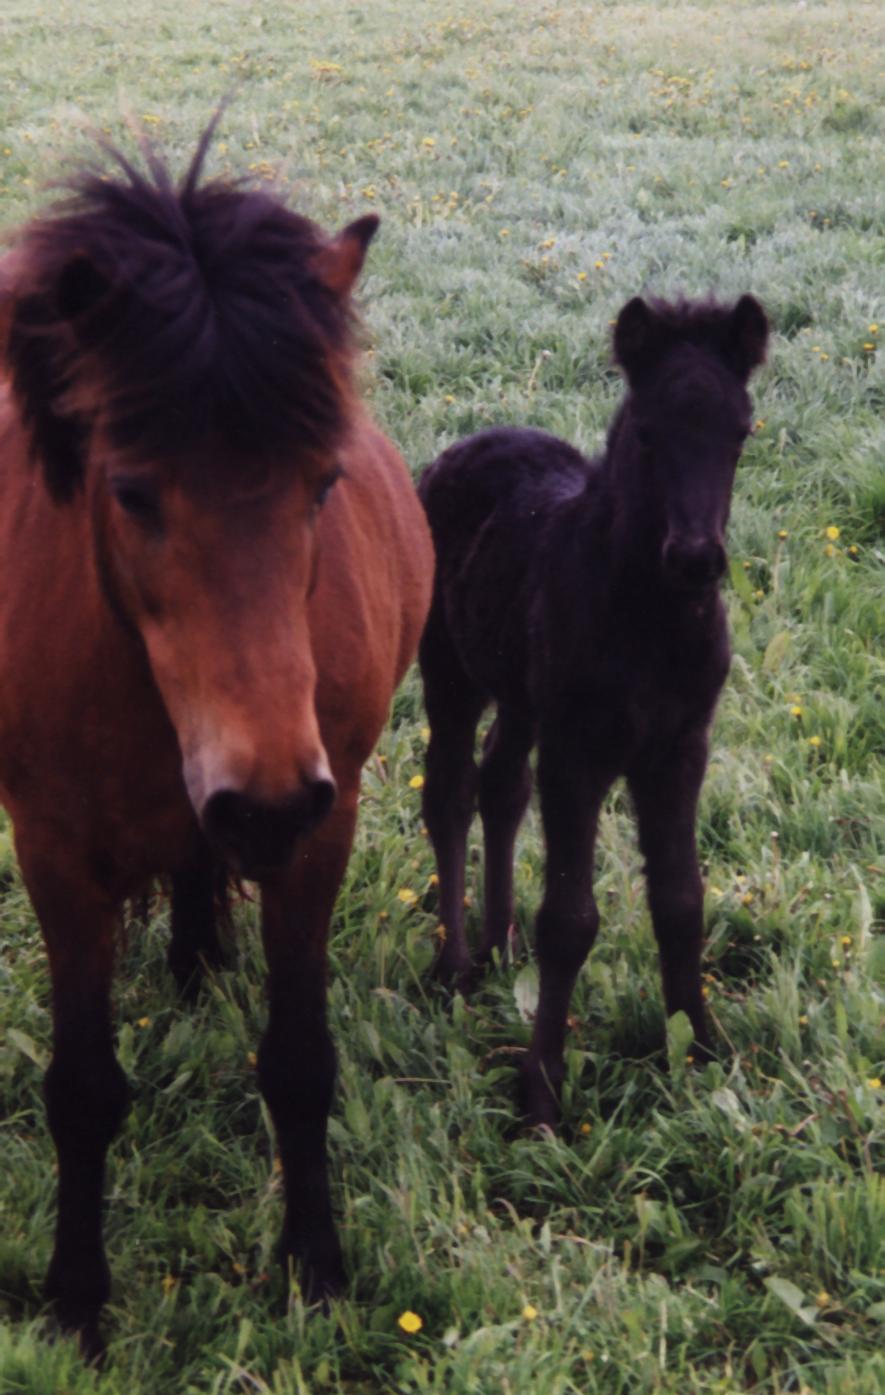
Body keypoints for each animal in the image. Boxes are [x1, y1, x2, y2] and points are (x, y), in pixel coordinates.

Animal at [0, 128, 429, 1350]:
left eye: (323, 482)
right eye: (131, 491)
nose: (267, 795)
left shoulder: (321, 831)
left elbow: (299, 1060)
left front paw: (316, 1264)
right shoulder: (55, 853)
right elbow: (82, 1090)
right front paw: (77, 1304)